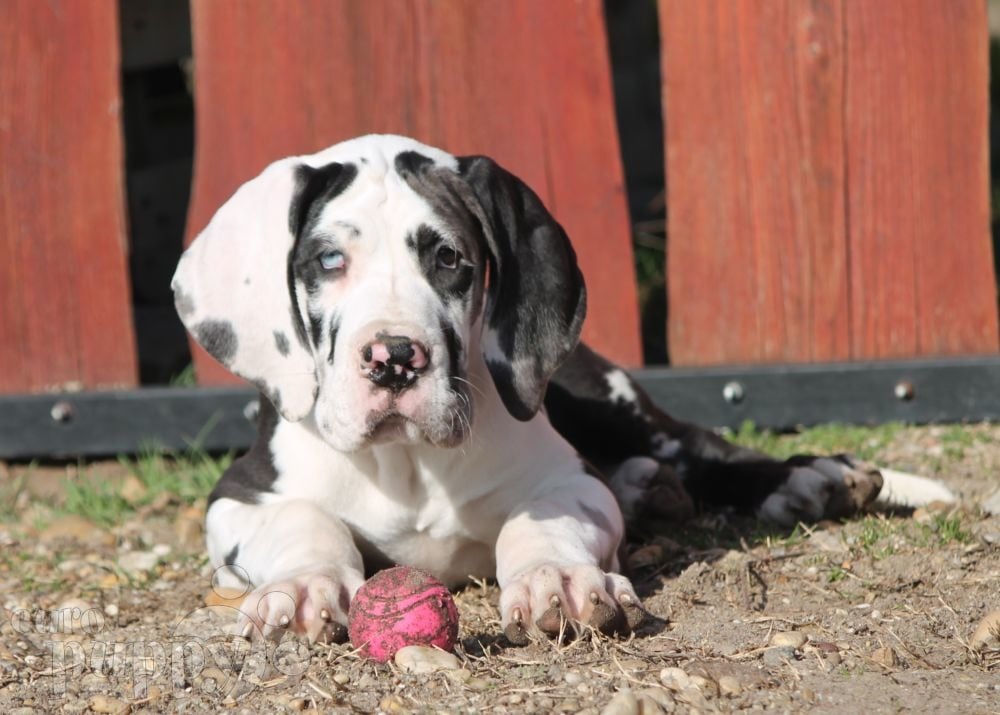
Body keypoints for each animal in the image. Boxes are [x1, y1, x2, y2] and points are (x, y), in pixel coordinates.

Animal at [174, 133, 952, 644]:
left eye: (450, 259)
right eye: (330, 259)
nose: (395, 358)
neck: (408, 465)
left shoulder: (568, 480)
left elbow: (537, 521)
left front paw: (556, 577)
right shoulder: (239, 496)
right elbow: (307, 521)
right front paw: (304, 586)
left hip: (603, 395)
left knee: (697, 444)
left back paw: (807, 478)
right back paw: (649, 486)